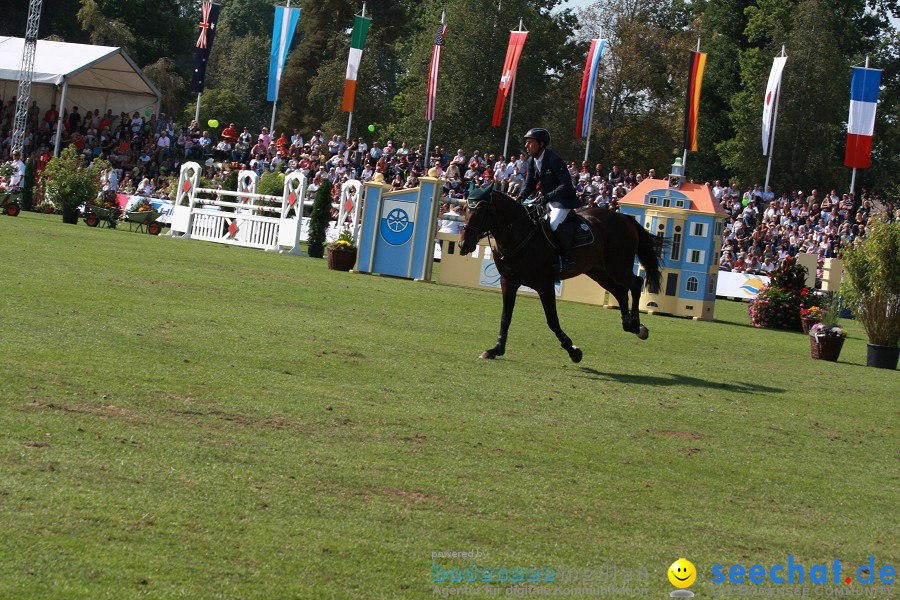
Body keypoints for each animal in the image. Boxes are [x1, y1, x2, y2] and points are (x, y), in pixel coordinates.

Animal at [460, 189, 664, 360]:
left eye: (479, 211)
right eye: (465, 209)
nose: (464, 245)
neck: (518, 235)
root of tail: (624, 218)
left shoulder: (544, 284)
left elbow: (552, 320)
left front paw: (573, 351)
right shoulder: (508, 282)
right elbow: (505, 317)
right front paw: (496, 349)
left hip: (617, 267)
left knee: (635, 283)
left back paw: (636, 325)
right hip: (598, 271)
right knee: (620, 291)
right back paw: (631, 325)